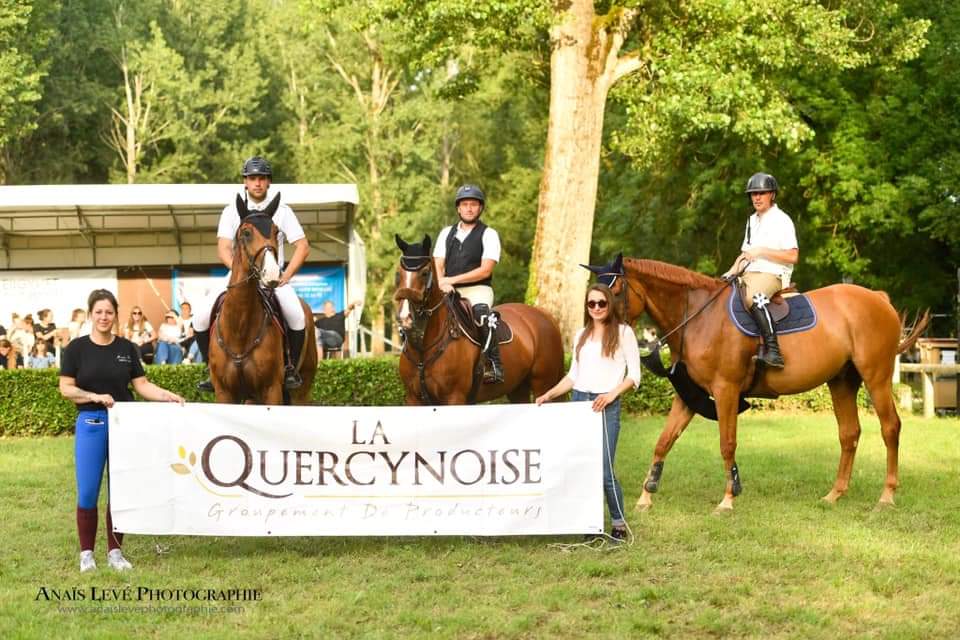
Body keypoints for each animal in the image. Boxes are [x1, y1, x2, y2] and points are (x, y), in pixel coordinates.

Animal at [208, 194, 316, 404]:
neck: (239, 328)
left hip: (301, 390)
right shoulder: (224, 393)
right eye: (246, 233)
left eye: (276, 232)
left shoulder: (271, 390)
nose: (272, 274)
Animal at [394, 235, 568, 404]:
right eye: (398, 274)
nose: (405, 318)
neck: (423, 348)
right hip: (518, 388)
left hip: (544, 384)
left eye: (424, 273)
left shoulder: (454, 397)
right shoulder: (414, 398)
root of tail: (543, 314)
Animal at [600, 258, 924, 512]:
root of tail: (878, 298)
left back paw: (886, 496)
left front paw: (728, 499)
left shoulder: (726, 391)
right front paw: (646, 496)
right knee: (849, 433)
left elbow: (727, 444)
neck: (699, 317)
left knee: (890, 428)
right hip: (842, 381)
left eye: (613, 291)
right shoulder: (690, 395)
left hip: (876, 378)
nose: (599, 325)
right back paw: (834, 494)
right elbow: (663, 441)